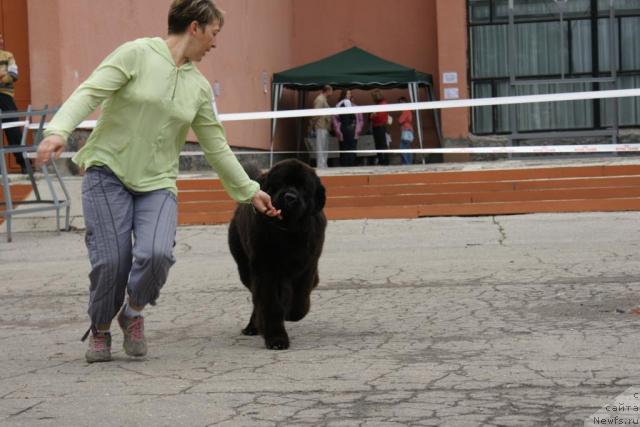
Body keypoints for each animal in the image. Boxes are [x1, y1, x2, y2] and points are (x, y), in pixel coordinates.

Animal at [228, 159, 328, 350]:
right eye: (280, 184)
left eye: (303, 187)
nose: (290, 197)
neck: (288, 233)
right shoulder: (265, 269)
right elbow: (270, 304)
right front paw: (276, 339)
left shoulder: (308, 264)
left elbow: (300, 297)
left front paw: (292, 313)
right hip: (245, 269)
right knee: (256, 299)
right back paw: (252, 327)